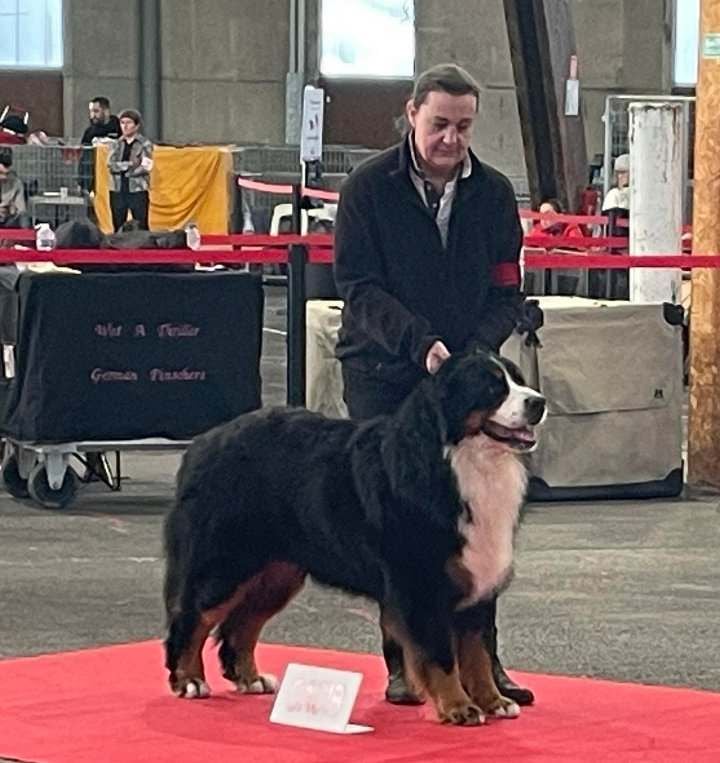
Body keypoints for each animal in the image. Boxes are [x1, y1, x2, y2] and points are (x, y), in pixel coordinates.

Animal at [165, 350, 544, 724]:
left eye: (518, 380)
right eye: (492, 387)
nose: (538, 402)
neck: (459, 461)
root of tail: (205, 442)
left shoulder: (477, 581)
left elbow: (478, 654)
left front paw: (494, 701)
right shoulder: (421, 584)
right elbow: (441, 655)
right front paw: (459, 707)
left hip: (277, 574)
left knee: (240, 625)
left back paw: (251, 678)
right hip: (225, 564)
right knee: (193, 616)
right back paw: (189, 680)